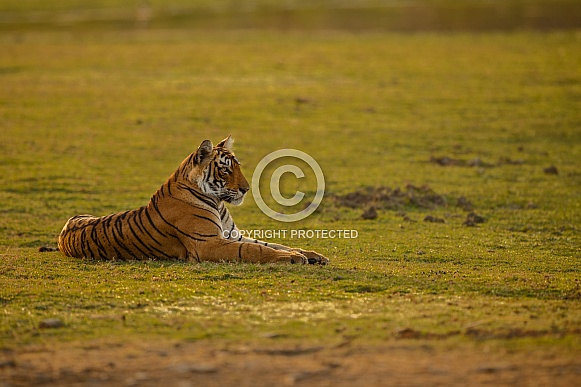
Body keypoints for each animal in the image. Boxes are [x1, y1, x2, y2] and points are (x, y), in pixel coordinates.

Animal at [56, 135, 328, 266]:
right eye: (226, 170)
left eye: (238, 166)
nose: (246, 189)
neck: (218, 202)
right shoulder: (207, 243)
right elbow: (255, 250)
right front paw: (292, 258)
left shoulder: (233, 235)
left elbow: (272, 243)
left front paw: (311, 254)